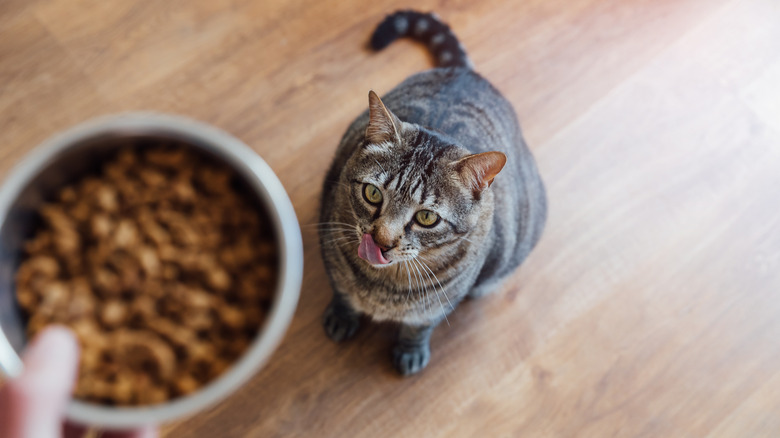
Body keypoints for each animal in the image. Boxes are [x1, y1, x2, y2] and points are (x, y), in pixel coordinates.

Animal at [320, 10, 544, 374]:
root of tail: (466, 73)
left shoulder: (441, 302)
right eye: (372, 194)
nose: (381, 241)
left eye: (427, 217)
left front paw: (410, 351)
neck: (384, 287)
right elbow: (342, 292)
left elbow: (420, 325)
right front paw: (342, 316)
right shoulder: (330, 249)